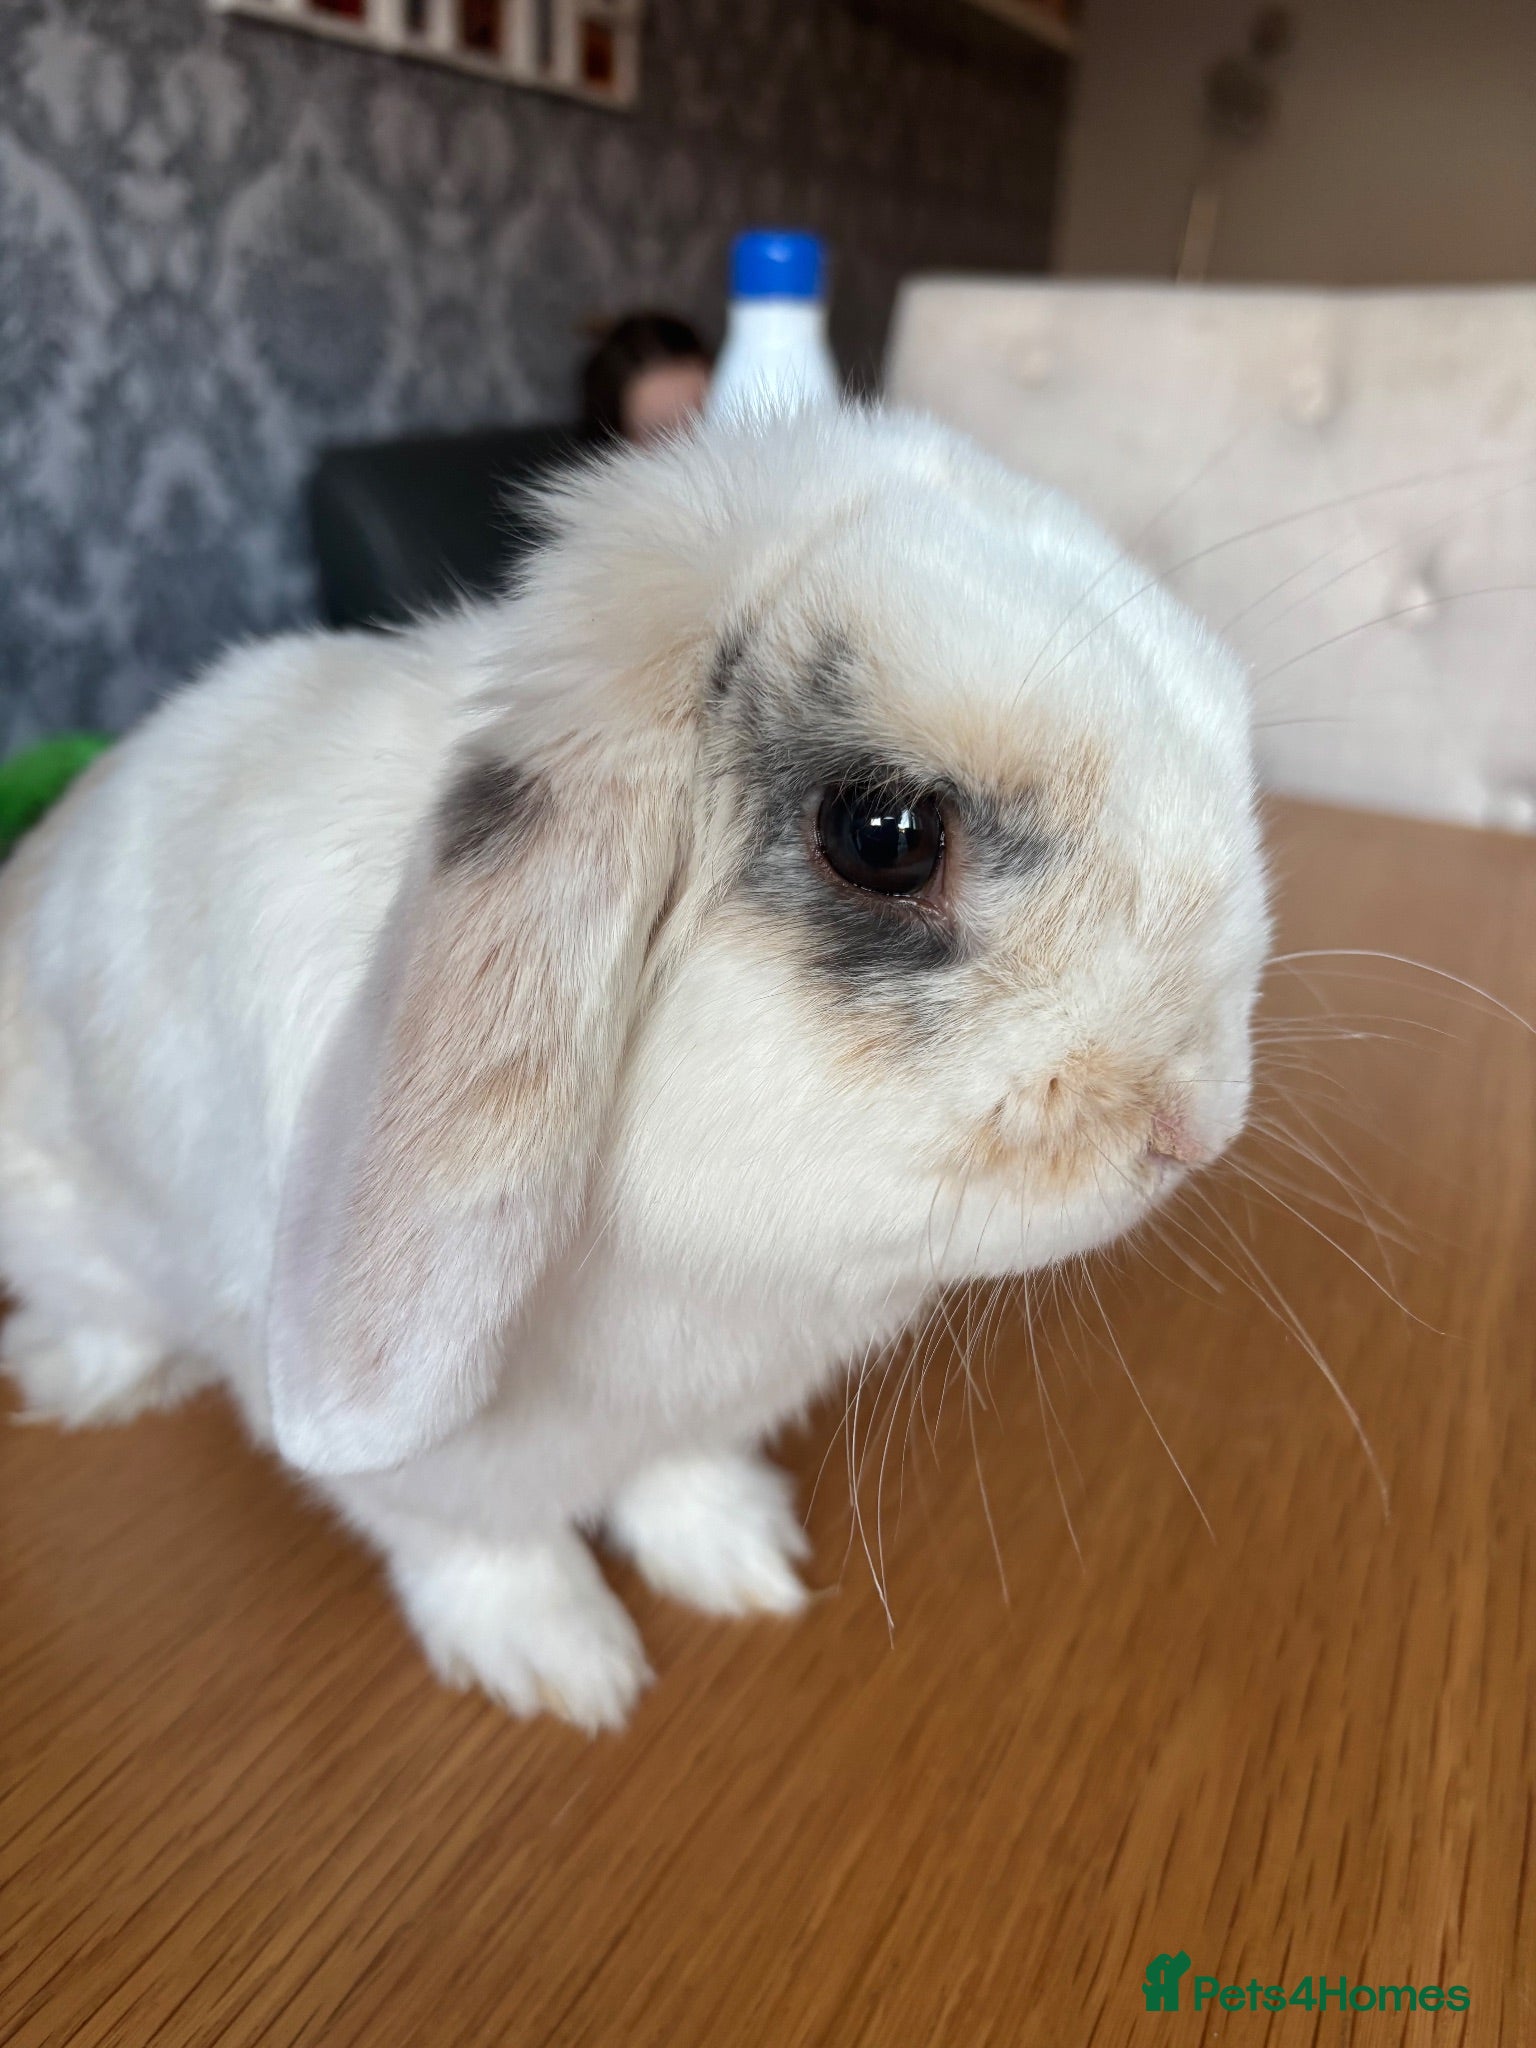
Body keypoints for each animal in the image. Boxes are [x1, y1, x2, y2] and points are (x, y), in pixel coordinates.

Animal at [0, 406, 1268, 1730]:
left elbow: (678, 1480)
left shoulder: (695, 1418)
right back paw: (88, 1382)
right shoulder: (437, 1476)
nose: (1199, 1123)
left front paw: (745, 1563)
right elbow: (482, 1549)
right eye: (884, 834)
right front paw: (570, 1668)